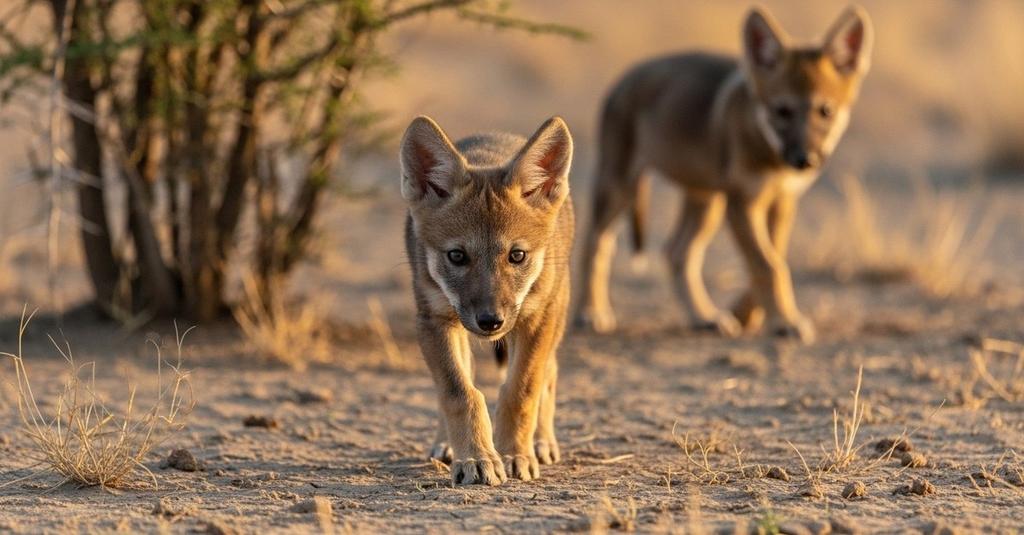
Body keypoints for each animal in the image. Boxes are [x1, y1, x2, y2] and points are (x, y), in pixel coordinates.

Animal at [401, 116, 574, 485]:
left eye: (517, 255)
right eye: (457, 255)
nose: (490, 321)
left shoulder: (536, 320)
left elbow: (521, 390)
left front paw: (513, 454)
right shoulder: (434, 319)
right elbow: (459, 392)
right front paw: (476, 458)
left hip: (555, 315)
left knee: (549, 372)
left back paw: (542, 442)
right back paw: (446, 445)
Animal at [575, 6, 873, 343]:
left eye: (825, 111)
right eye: (782, 111)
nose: (804, 160)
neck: (768, 153)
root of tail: (627, 76)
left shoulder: (782, 202)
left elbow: (773, 260)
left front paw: (746, 315)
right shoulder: (742, 204)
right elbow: (768, 266)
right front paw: (784, 320)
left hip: (707, 202)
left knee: (677, 252)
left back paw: (703, 316)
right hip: (620, 188)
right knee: (596, 244)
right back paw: (591, 312)